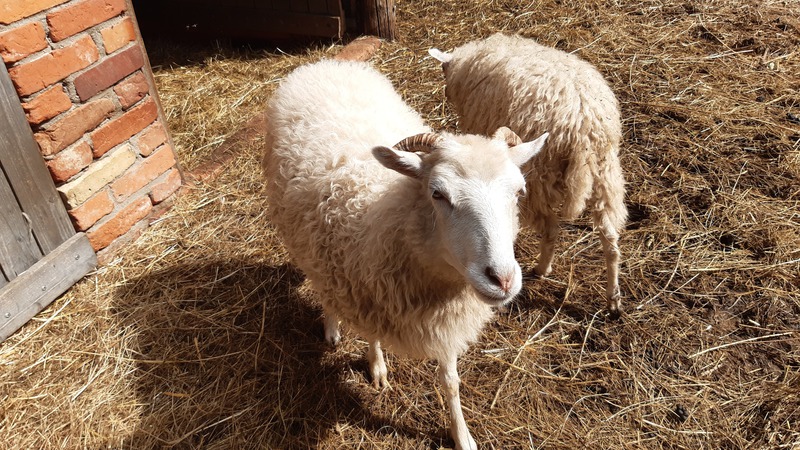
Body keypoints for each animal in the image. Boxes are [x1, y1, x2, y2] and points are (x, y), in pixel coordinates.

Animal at [261, 59, 548, 450]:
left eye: (519, 192)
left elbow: (450, 382)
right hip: (301, 236)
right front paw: (377, 367)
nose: (502, 279)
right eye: (438, 193)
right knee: (319, 281)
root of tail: (324, 63)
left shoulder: (445, 322)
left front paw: (461, 434)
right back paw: (331, 326)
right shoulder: (366, 288)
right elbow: (372, 335)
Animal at [429, 33, 628, 315]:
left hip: (538, 177)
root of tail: (583, 127)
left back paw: (542, 268)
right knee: (610, 237)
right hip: (607, 175)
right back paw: (613, 299)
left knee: (551, 229)